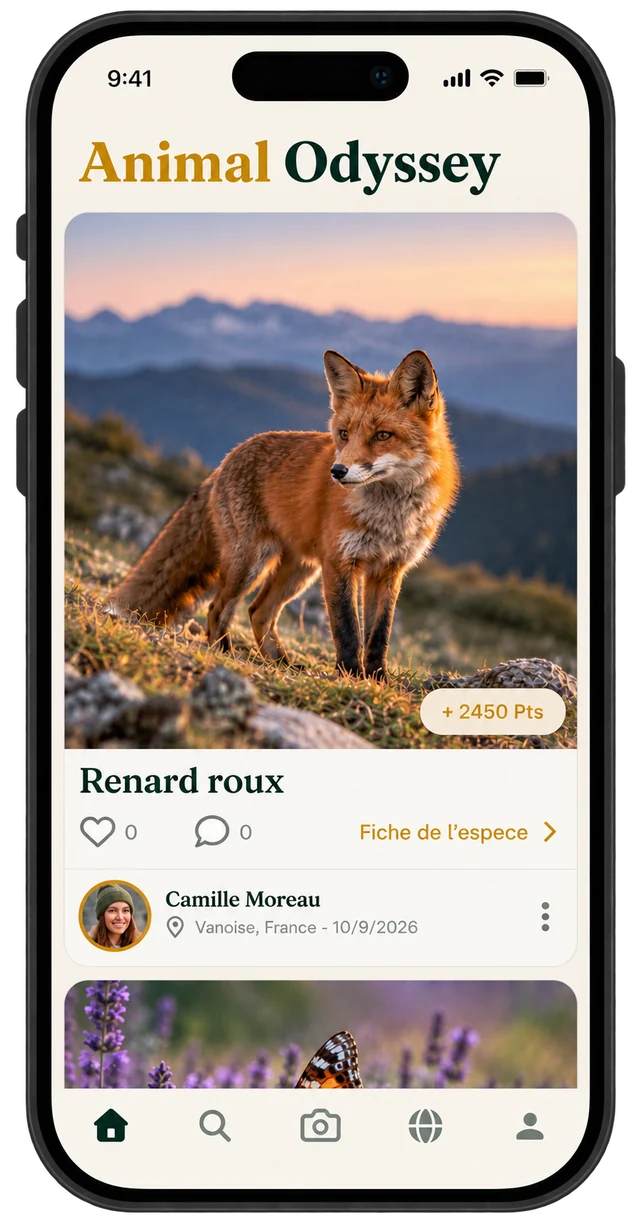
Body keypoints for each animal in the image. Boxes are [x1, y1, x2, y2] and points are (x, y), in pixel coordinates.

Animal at [110, 348, 460, 682]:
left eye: (383, 435)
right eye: (344, 434)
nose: (337, 471)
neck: (390, 516)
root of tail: (227, 459)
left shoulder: (388, 570)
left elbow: (379, 636)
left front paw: (377, 680)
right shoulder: (340, 563)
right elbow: (347, 630)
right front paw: (351, 677)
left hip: (299, 571)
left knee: (258, 611)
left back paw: (280, 663)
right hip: (252, 563)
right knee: (217, 608)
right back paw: (225, 653)